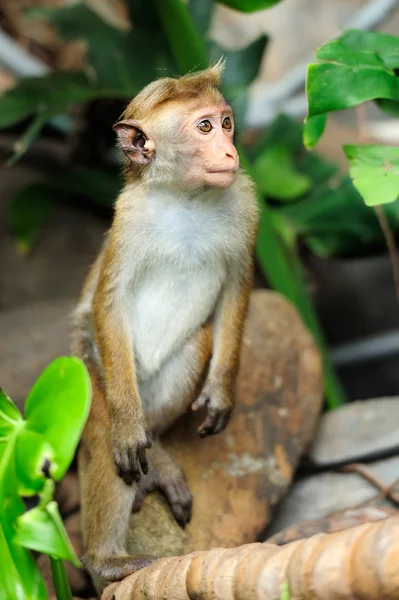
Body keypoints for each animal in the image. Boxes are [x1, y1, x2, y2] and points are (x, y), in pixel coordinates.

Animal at [72, 62, 260, 592]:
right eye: (204, 127)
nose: (230, 151)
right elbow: (106, 305)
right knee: (107, 437)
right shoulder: (128, 218)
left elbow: (236, 288)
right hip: (99, 382)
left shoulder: (244, 202)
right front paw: (129, 432)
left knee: (198, 343)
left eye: (226, 123)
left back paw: (158, 459)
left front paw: (220, 392)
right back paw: (107, 560)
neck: (187, 197)